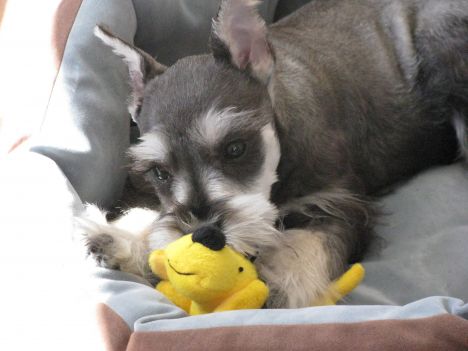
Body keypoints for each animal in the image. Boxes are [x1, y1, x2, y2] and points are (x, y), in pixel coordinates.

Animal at [77, 0, 468, 308]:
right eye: (160, 173)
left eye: (236, 148)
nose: (206, 235)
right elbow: (156, 216)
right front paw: (122, 238)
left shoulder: (343, 203)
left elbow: (309, 242)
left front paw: (280, 283)